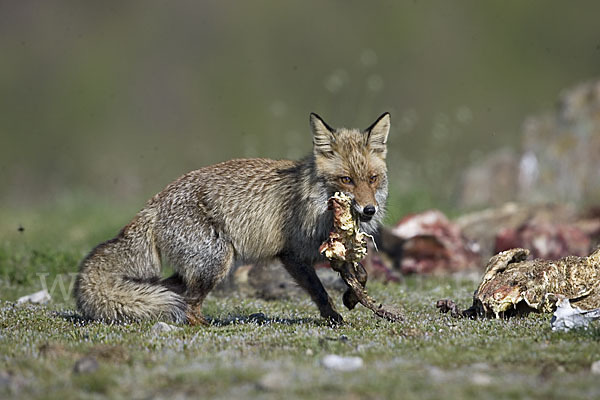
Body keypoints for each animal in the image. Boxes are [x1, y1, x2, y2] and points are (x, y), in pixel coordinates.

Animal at [75, 112, 392, 324]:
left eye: (372, 179)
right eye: (346, 180)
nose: (369, 210)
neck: (315, 204)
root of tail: (154, 203)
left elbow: (361, 275)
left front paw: (352, 297)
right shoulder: (293, 255)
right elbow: (319, 291)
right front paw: (334, 317)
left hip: (200, 267)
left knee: (168, 293)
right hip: (217, 262)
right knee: (188, 305)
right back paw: (207, 327)